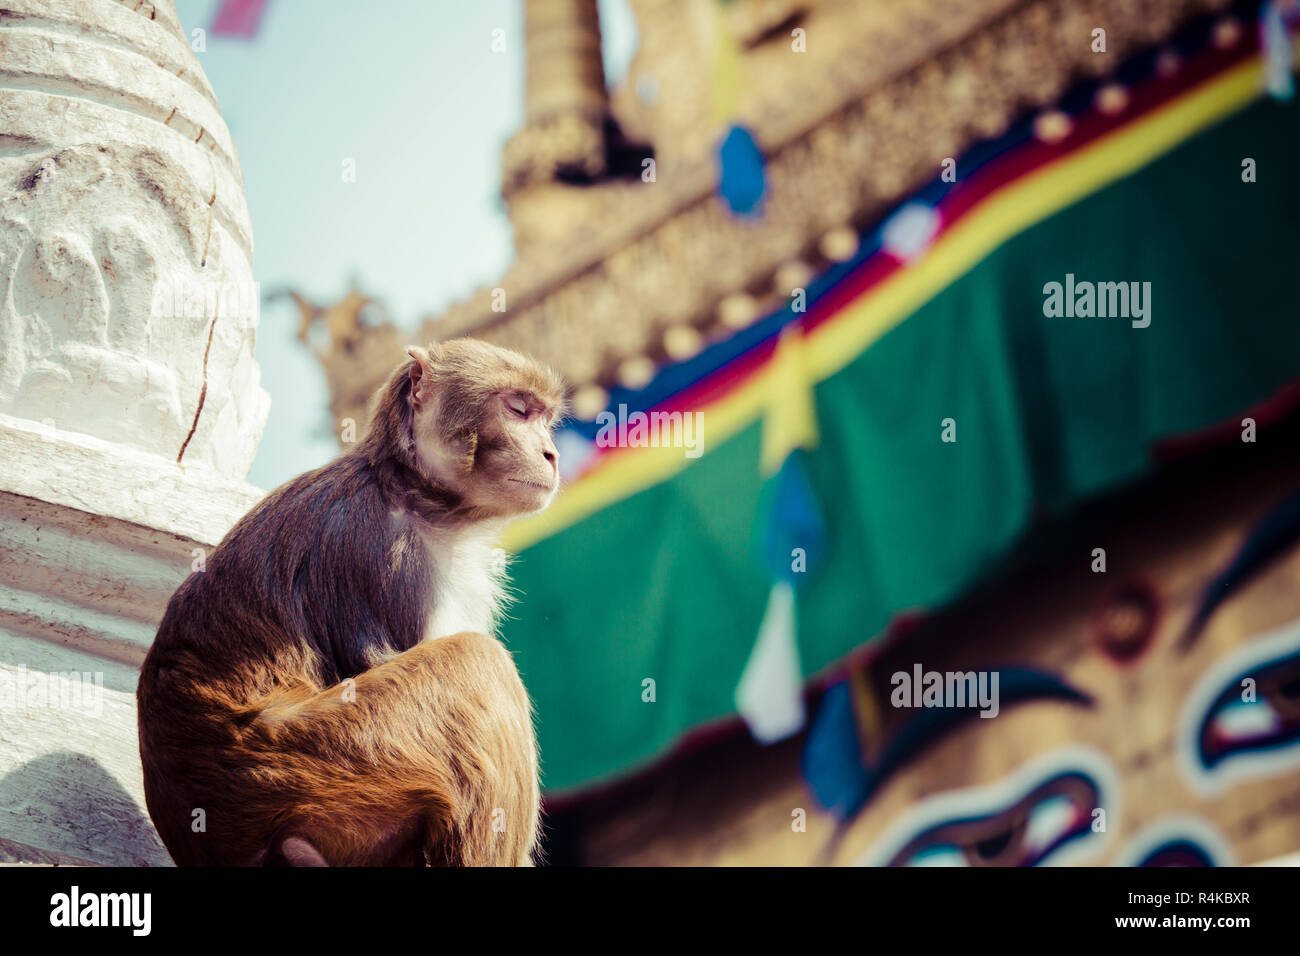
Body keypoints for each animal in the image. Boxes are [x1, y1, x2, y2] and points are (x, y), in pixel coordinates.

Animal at [137, 338, 566, 866]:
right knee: (476, 659)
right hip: (311, 761)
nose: (551, 454)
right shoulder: (388, 554)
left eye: (544, 418)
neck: (409, 488)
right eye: (518, 410)